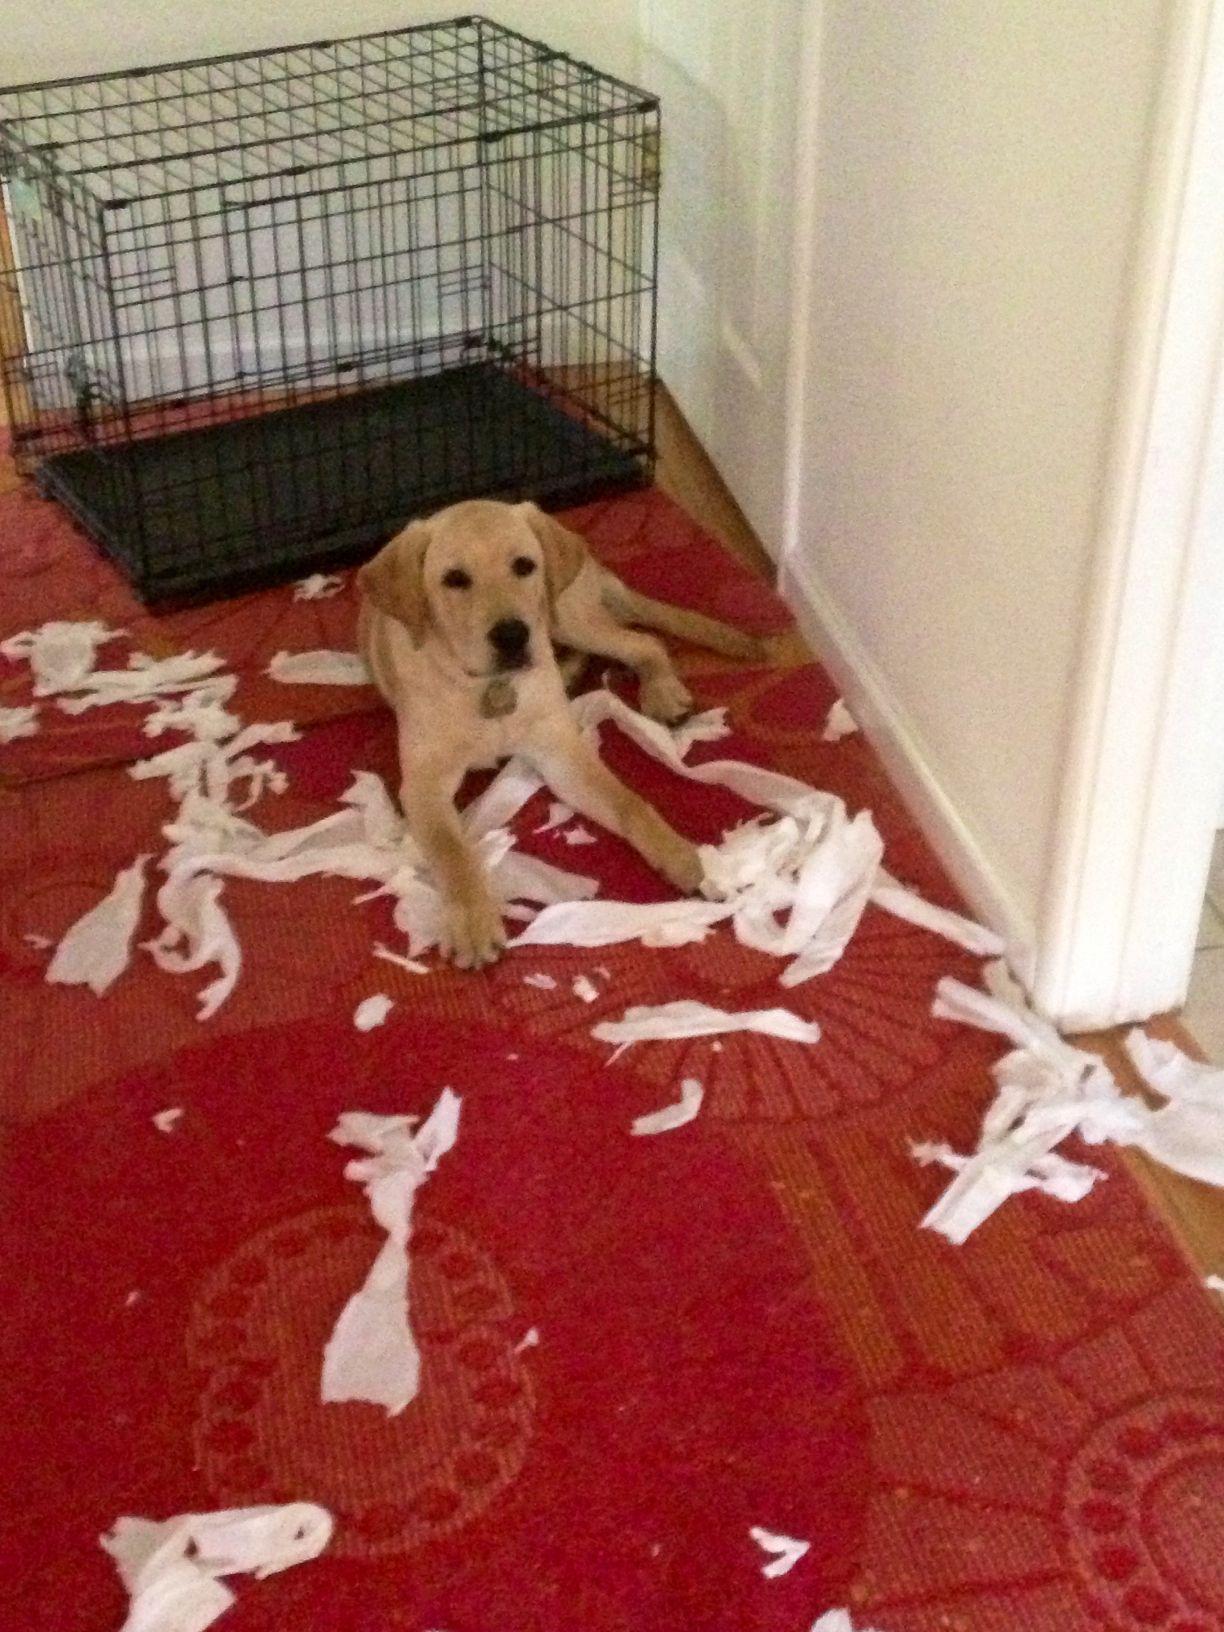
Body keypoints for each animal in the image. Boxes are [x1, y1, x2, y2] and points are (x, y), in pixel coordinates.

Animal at [354, 499, 763, 966]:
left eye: (524, 565)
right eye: (454, 579)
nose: (513, 635)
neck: (490, 688)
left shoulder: (562, 757)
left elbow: (630, 803)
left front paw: (681, 855)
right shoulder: (423, 785)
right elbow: (452, 852)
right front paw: (474, 923)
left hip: (565, 616)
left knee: (644, 642)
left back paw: (661, 691)